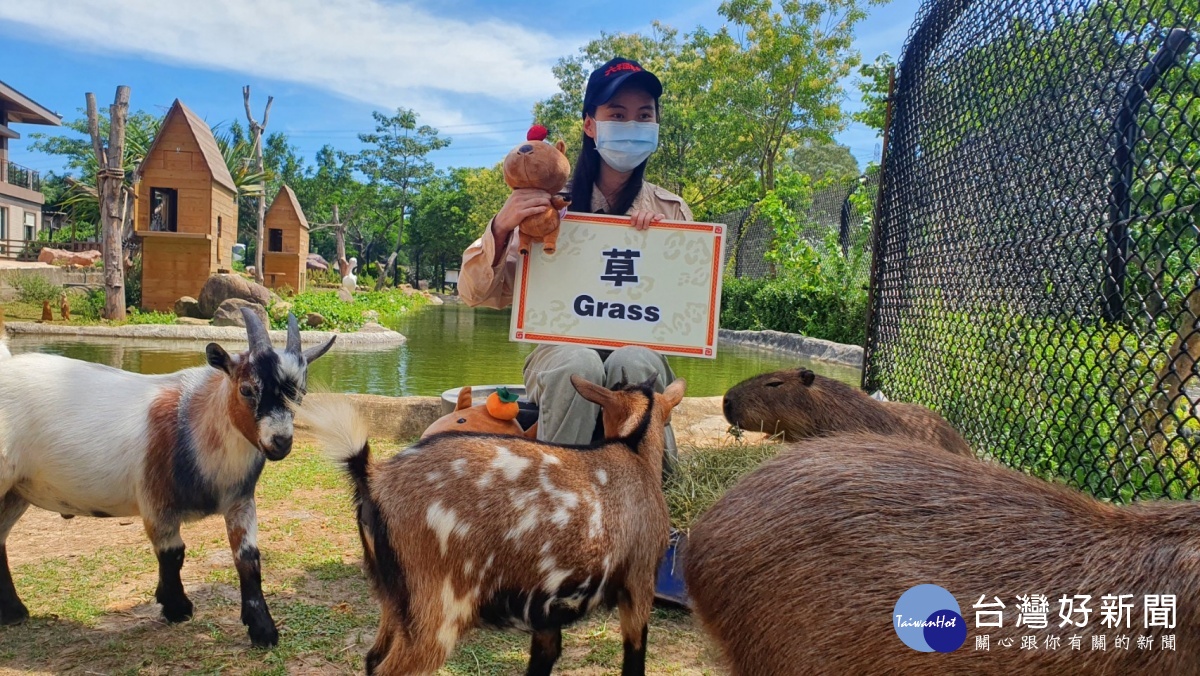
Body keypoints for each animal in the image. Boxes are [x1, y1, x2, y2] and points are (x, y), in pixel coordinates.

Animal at [0, 309, 333, 648]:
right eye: (246, 389)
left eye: (300, 393)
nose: (280, 442)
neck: (193, 423)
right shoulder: (155, 502)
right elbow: (172, 553)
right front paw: (177, 608)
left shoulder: (239, 500)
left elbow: (247, 557)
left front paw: (262, 628)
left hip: (17, 492)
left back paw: (13, 612)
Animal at [304, 374, 686, 676]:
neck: (634, 452)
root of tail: (373, 477)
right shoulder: (639, 582)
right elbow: (634, 656)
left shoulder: (545, 609)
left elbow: (544, 659)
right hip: (438, 607)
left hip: (393, 600)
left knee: (372, 659)